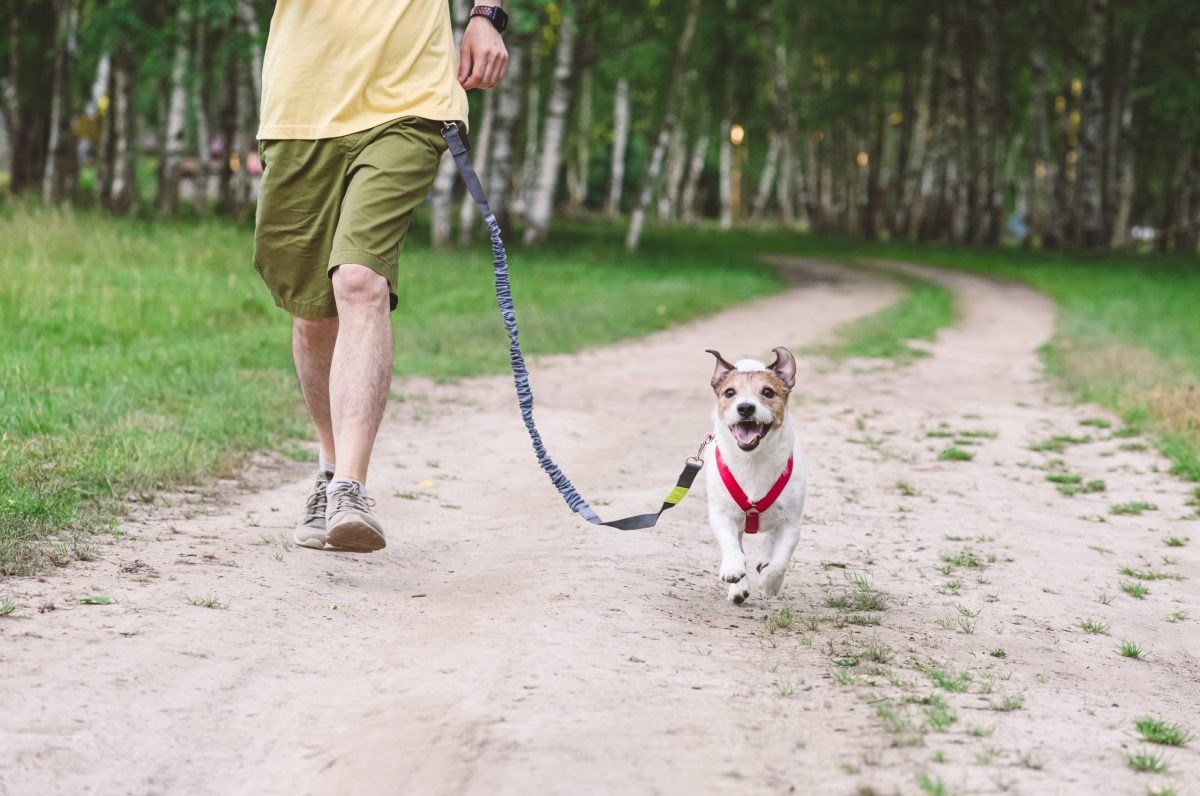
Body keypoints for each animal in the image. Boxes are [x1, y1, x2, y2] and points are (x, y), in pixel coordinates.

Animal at [700, 348, 806, 605]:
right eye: (730, 392)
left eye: (767, 392)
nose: (745, 407)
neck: (754, 460)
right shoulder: (722, 515)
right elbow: (732, 547)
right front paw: (733, 572)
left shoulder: (792, 523)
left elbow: (780, 562)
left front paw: (769, 583)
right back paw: (738, 587)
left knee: (772, 542)